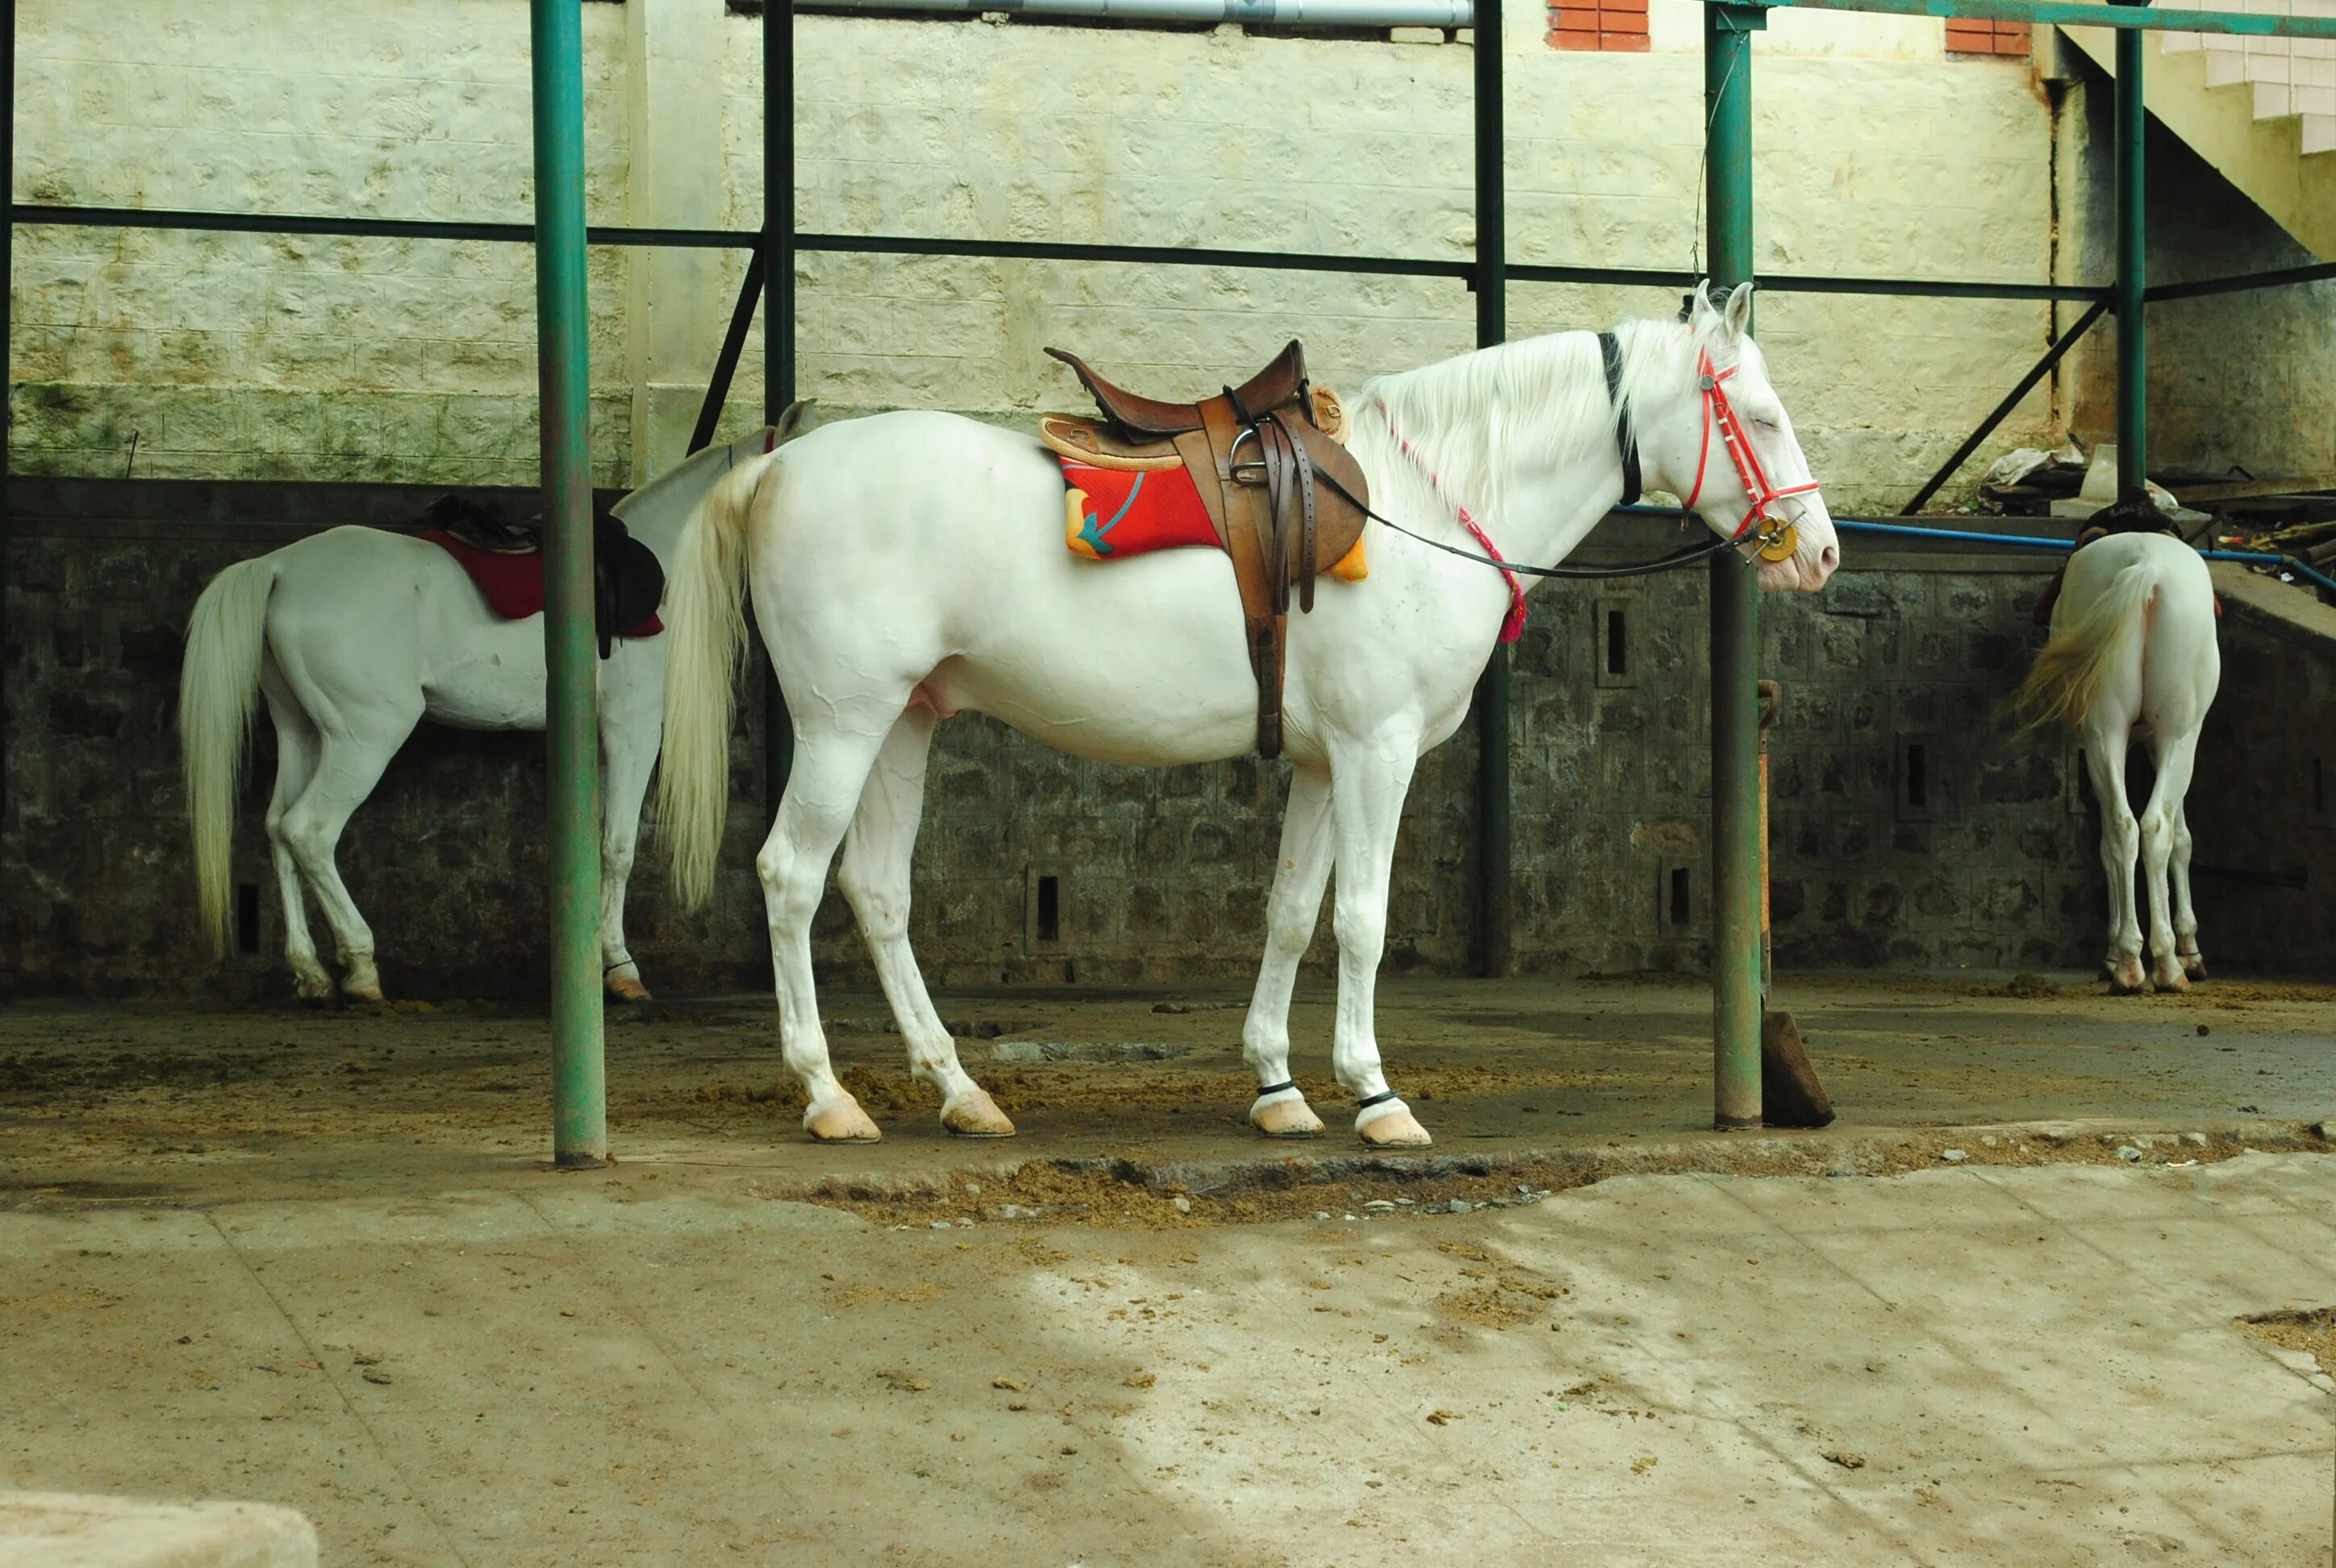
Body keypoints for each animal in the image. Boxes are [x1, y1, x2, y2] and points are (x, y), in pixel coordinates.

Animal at [179, 415, 803, 1004]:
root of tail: (279, 568)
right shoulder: (634, 728)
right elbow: (620, 848)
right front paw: (622, 969)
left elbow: (597, 843)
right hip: (364, 737)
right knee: (308, 831)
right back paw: (360, 968)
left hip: (304, 732)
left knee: (277, 830)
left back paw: (310, 974)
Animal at [658, 285, 1841, 1140]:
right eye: (1764, 416)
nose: (1823, 552)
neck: (1422, 506)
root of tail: (776, 466)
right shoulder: (1377, 753)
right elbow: (1361, 919)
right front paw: (1374, 1095)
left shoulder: (1323, 761)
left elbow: (1289, 912)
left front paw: (1278, 1088)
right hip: (844, 722)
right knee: (791, 876)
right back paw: (827, 1096)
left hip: (905, 719)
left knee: (877, 892)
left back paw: (960, 1091)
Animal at [2018, 514, 2214, 995]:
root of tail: (2147, 569)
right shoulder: (2170, 741)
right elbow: (2182, 838)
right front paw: (2190, 949)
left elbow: (2120, 838)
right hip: (2177, 731)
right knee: (2151, 826)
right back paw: (2162, 963)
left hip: (2105, 728)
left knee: (2125, 828)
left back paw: (2130, 962)